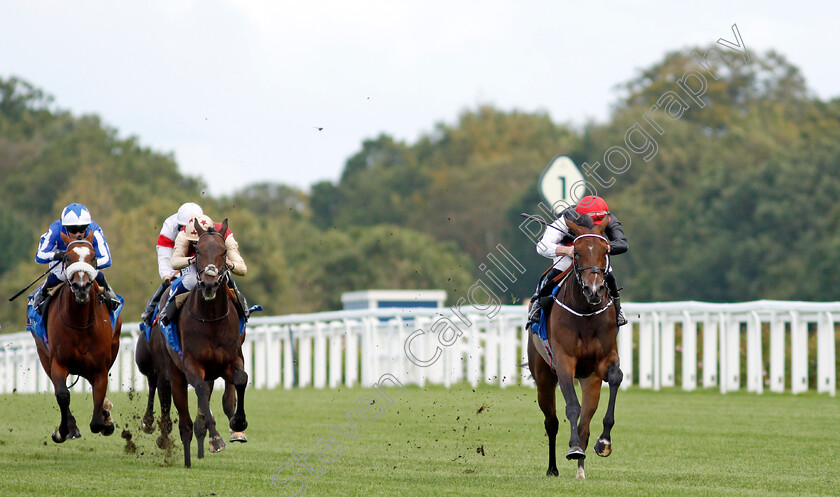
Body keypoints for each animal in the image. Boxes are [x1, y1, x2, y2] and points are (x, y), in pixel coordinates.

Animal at [34, 232, 121, 442]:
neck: (80, 324)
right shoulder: (58, 362)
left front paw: (104, 419)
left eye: (94, 257)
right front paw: (63, 430)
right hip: (43, 354)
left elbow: (98, 402)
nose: (81, 286)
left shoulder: (100, 367)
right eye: (66, 258)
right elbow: (63, 395)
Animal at [160, 219, 246, 466]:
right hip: (175, 373)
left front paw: (239, 423)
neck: (211, 320)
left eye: (224, 252)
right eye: (197, 251)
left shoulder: (234, 358)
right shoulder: (192, 365)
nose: (209, 284)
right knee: (186, 418)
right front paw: (216, 437)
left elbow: (241, 380)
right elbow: (199, 391)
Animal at [524, 215, 624, 478]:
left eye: (605, 250)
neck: (586, 312)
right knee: (551, 423)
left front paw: (604, 442)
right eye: (577, 252)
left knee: (585, 425)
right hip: (544, 378)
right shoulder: (564, 361)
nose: (594, 289)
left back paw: (581, 469)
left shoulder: (604, 361)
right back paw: (553, 468)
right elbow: (571, 407)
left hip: (590, 381)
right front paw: (573, 449)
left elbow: (616, 378)